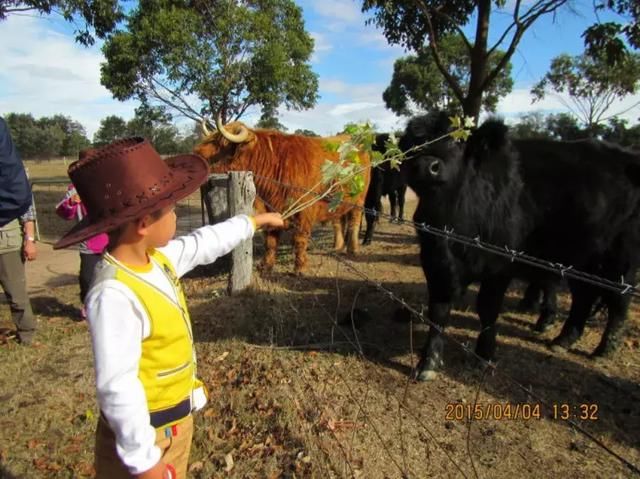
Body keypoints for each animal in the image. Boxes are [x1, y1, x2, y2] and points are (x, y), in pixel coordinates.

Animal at [198, 118, 372, 274]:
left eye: (221, 144)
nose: (196, 153)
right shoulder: (271, 209)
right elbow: (270, 240)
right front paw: (265, 266)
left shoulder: (303, 212)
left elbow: (300, 239)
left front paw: (300, 268)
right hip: (338, 201)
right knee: (338, 221)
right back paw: (337, 246)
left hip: (359, 199)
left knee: (354, 222)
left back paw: (353, 249)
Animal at [402, 110, 640, 380]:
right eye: (412, 145)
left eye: (456, 141)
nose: (425, 166)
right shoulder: (435, 262)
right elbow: (438, 311)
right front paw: (428, 362)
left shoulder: (499, 267)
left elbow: (487, 309)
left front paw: (484, 355)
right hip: (584, 259)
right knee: (583, 297)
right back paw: (563, 339)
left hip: (621, 259)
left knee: (619, 303)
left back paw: (605, 348)